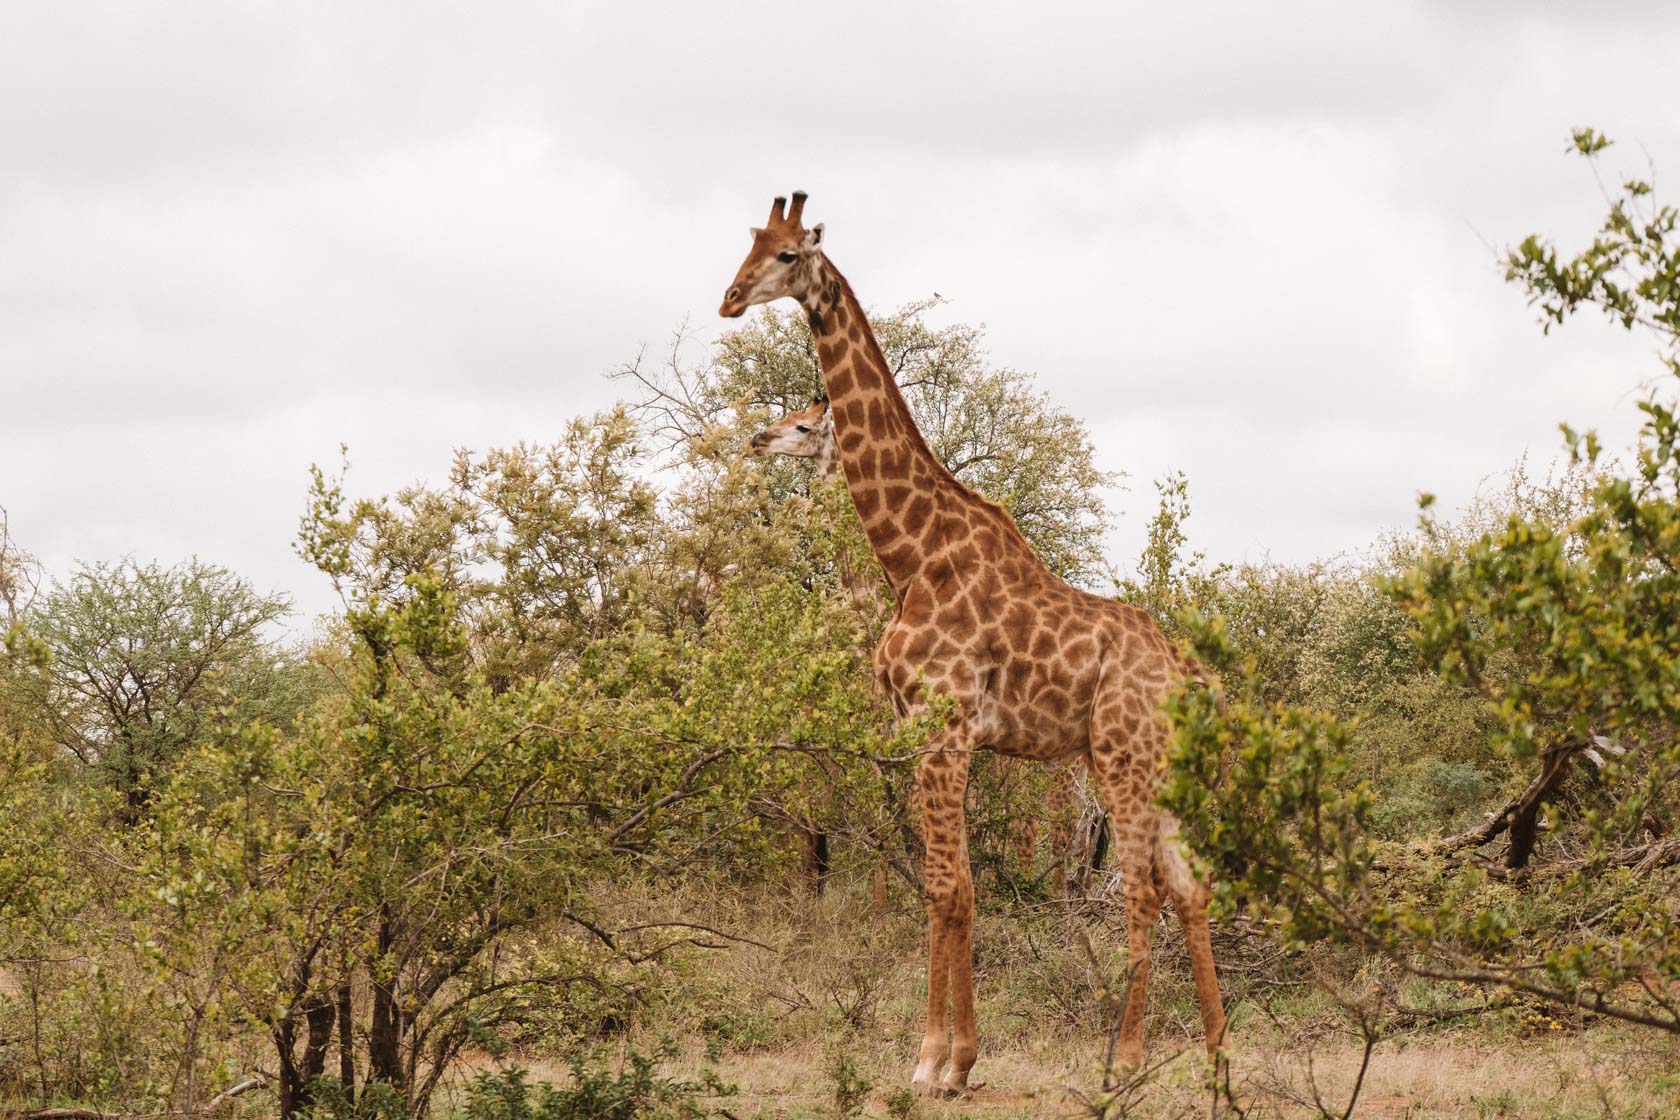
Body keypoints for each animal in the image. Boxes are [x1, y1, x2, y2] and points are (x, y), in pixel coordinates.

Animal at [715, 193, 1229, 1094]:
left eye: (786, 255)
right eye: (746, 245)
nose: (730, 299)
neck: (909, 554)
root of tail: (1188, 677)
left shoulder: (943, 732)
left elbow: (946, 890)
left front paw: (934, 1062)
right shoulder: (940, 739)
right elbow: (956, 889)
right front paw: (955, 1060)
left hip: (1122, 759)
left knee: (1142, 890)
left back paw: (1125, 1064)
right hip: (1151, 764)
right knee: (1189, 884)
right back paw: (1216, 1060)